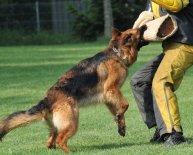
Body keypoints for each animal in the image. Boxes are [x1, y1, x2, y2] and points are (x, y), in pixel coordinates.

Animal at [0, 25, 146, 153]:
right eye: (136, 31)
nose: (144, 26)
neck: (117, 53)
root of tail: (47, 100)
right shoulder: (111, 89)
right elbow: (126, 104)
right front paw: (120, 116)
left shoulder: (108, 97)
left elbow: (119, 112)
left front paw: (120, 124)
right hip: (72, 123)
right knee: (60, 139)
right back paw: (70, 152)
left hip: (57, 126)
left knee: (50, 141)